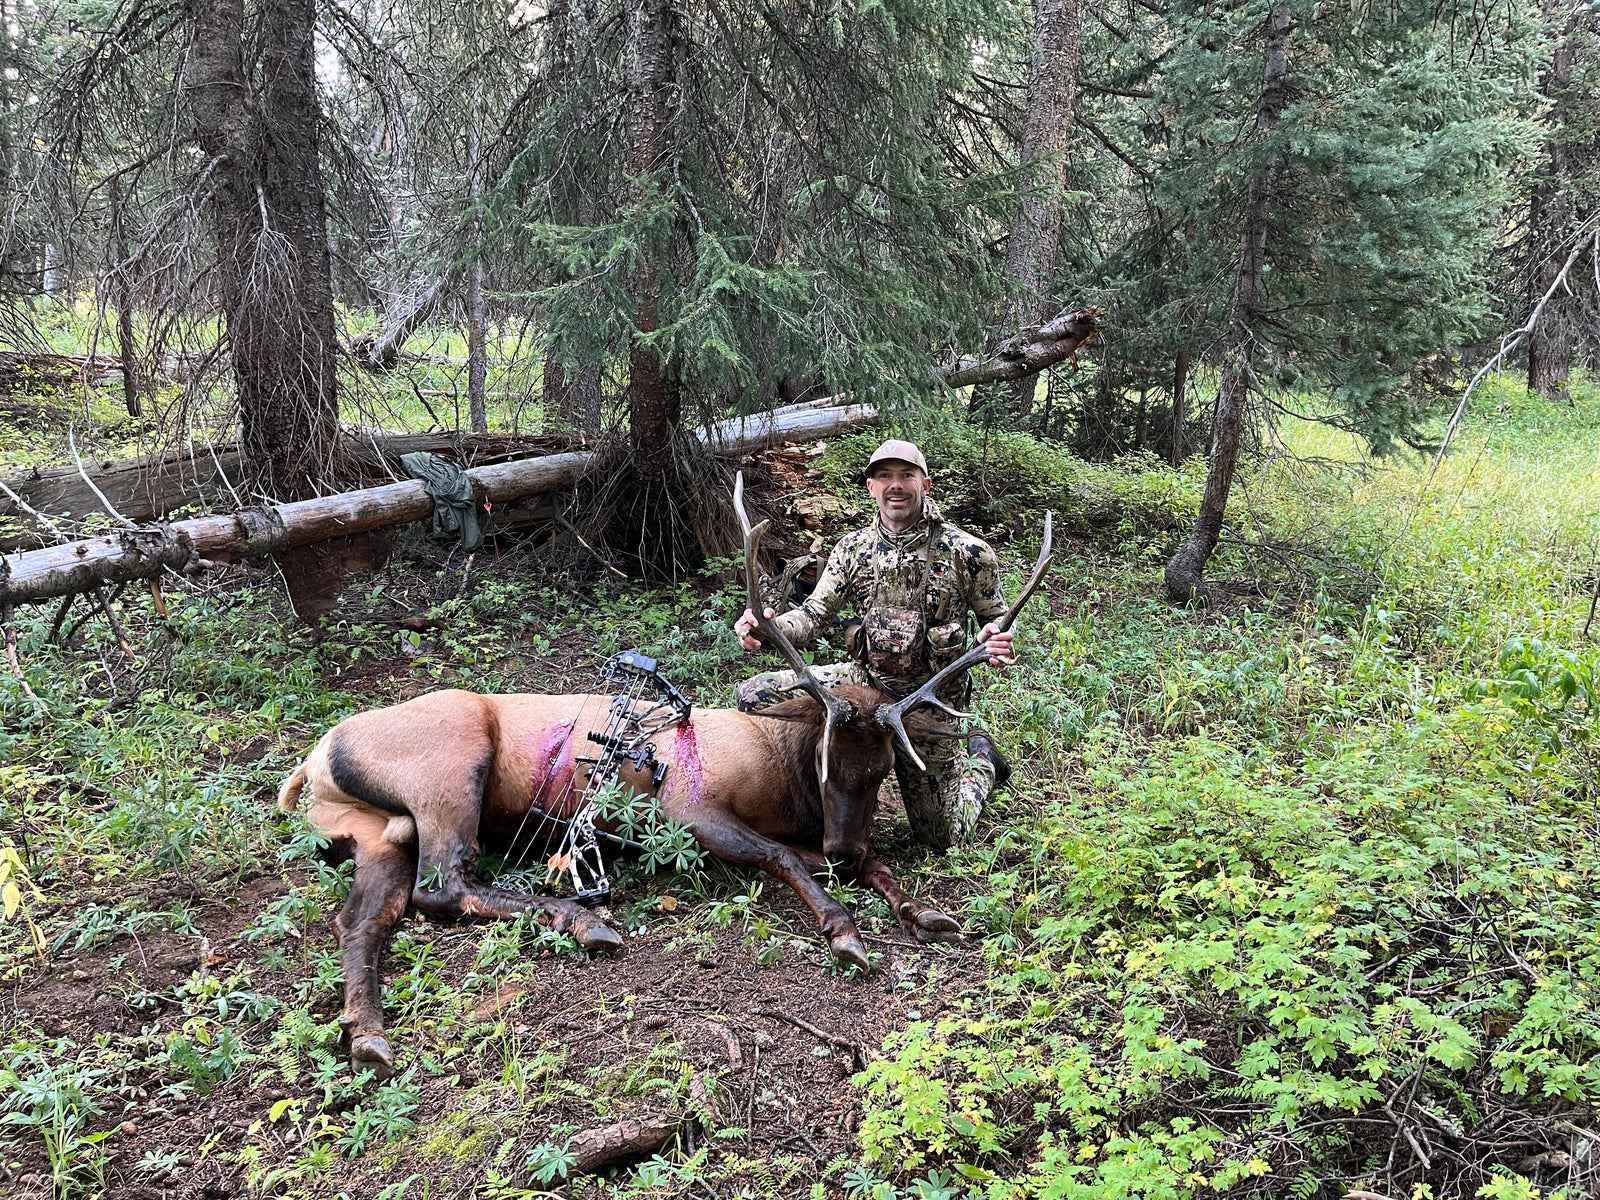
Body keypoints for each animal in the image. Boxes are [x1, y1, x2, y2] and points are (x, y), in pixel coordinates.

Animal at [275, 473, 1049, 1075]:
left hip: (378, 829)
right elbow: (780, 860)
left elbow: (874, 869)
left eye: (888, 767)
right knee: (444, 884)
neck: (785, 781)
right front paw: (846, 932)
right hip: (449, 768)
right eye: (828, 760)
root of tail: (313, 758)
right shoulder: (687, 811)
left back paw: (368, 1036)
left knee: (364, 916)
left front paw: (923, 911)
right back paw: (586, 923)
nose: (844, 848)